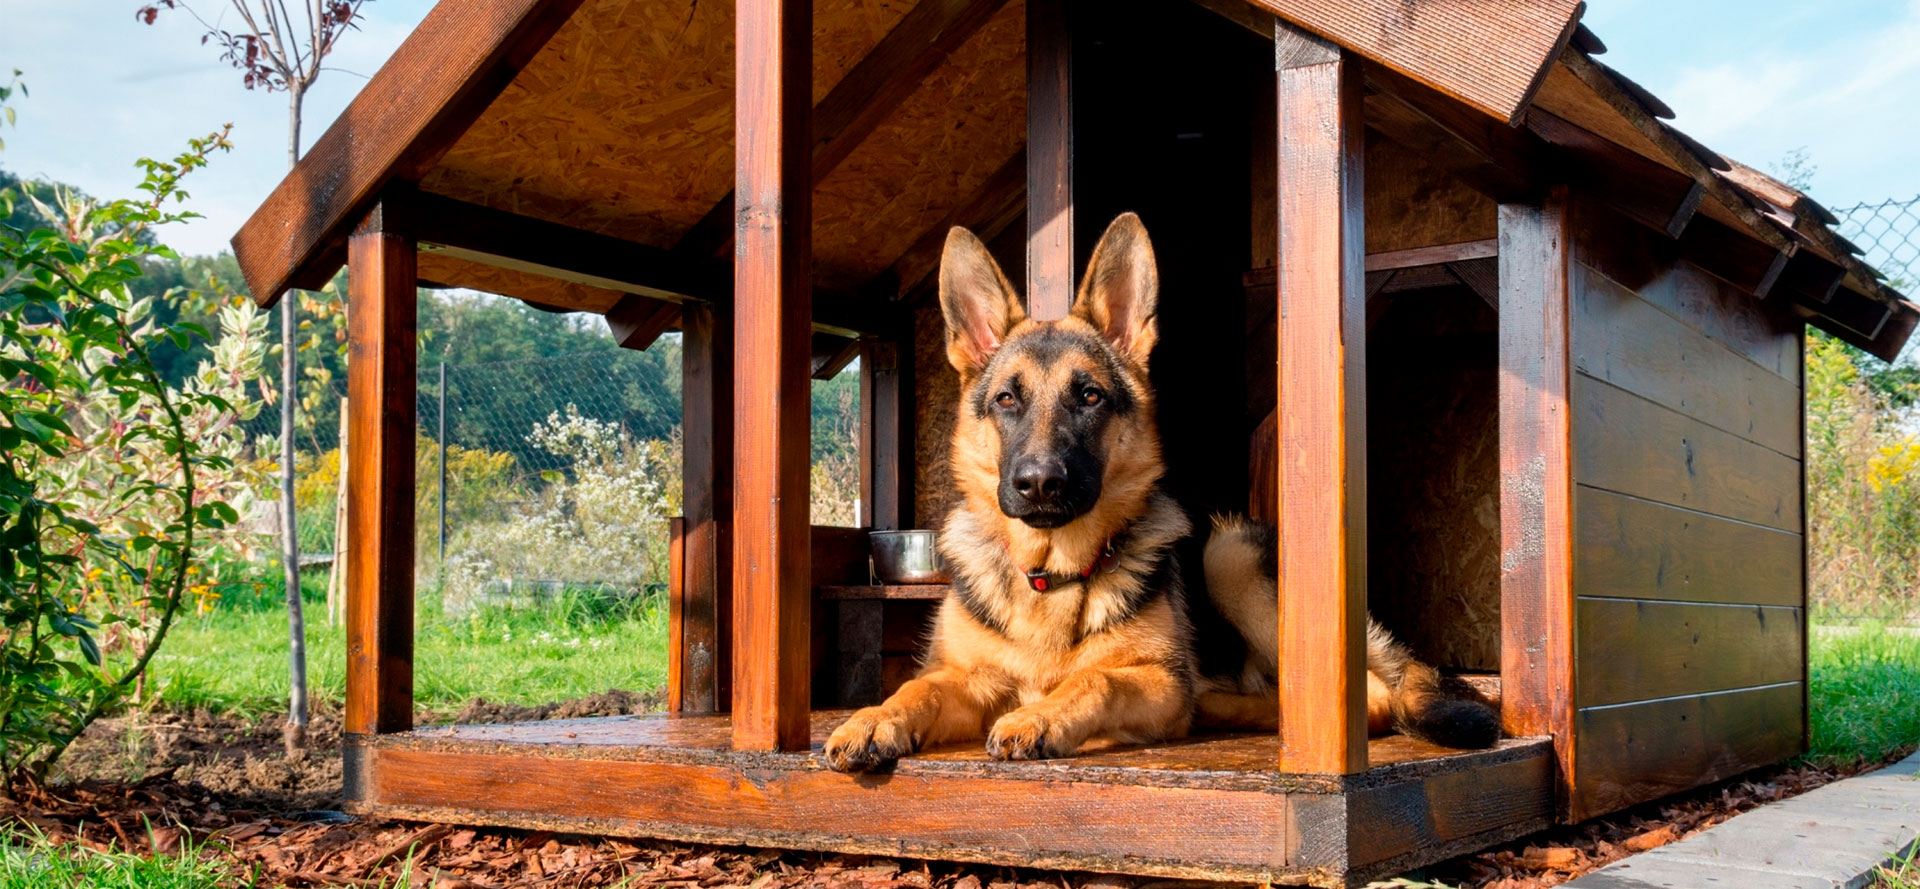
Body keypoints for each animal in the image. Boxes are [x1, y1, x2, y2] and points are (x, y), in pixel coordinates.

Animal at [817, 216, 1489, 771]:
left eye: (1088, 396)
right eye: (1007, 399)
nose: (1039, 484)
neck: (1052, 576)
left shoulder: (1157, 681)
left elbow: (1097, 680)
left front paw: (1041, 715)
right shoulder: (966, 677)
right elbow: (916, 687)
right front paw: (872, 719)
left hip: (1229, 555)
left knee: (1370, 697)